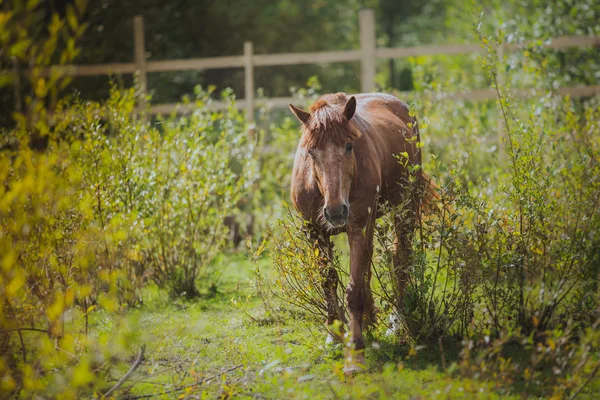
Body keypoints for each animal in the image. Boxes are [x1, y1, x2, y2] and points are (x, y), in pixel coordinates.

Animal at [288, 91, 424, 372]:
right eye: (311, 152)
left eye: (349, 146)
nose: (335, 211)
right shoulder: (315, 232)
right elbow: (329, 280)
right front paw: (334, 333)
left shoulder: (358, 226)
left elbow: (353, 288)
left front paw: (356, 347)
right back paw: (371, 318)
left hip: (405, 209)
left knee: (400, 261)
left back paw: (397, 322)